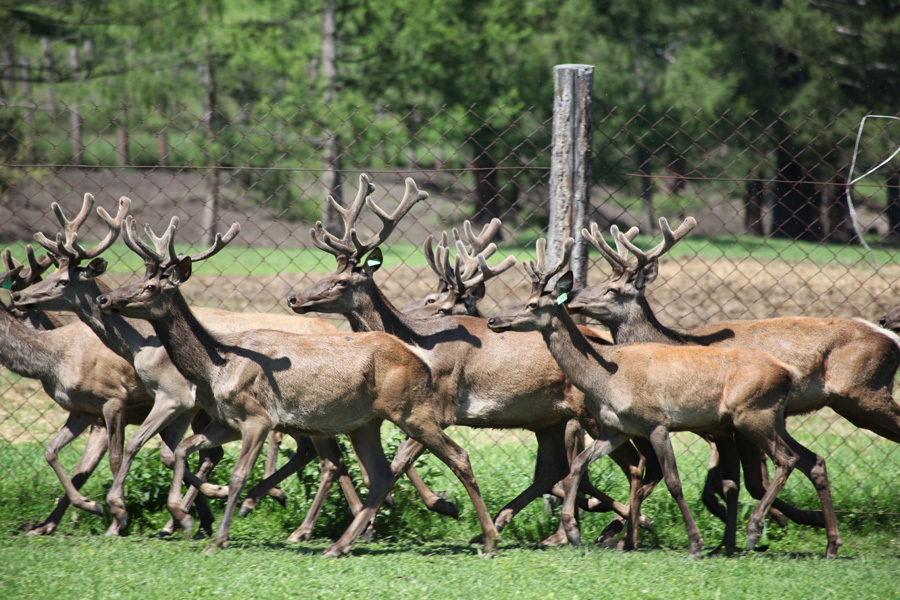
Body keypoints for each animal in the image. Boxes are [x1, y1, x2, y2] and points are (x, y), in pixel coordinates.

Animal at [94, 213, 502, 556]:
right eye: (136, 278)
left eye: (150, 286)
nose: (104, 297)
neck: (216, 366)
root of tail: (419, 359)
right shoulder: (227, 421)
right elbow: (182, 449)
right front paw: (184, 516)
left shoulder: (259, 417)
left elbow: (239, 474)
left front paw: (218, 536)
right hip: (366, 423)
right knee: (381, 475)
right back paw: (338, 545)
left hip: (412, 409)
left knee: (457, 456)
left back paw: (488, 539)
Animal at [288, 173, 652, 548]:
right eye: (327, 274)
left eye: (341, 281)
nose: (294, 298)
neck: (419, 343)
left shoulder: (442, 404)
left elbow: (401, 459)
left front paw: (431, 507)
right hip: (548, 419)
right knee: (555, 468)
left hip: (590, 412)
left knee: (633, 461)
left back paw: (624, 529)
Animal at [486, 238, 844, 556]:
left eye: (531, 304)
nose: (492, 319)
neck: (606, 380)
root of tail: (787, 372)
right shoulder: (615, 428)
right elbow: (578, 462)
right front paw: (573, 532)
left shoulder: (656, 422)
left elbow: (673, 481)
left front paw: (694, 543)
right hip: (772, 417)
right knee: (812, 460)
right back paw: (830, 544)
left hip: (751, 414)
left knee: (787, 459)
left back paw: (755, 530)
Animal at [568, 218, 900, 524]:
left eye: (612, 289)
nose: (572, 297)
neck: (676, 342)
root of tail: (890, 338)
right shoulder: (718, 426)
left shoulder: (730, 423)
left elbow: (747, 482)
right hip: (851, 401)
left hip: (865, 392)